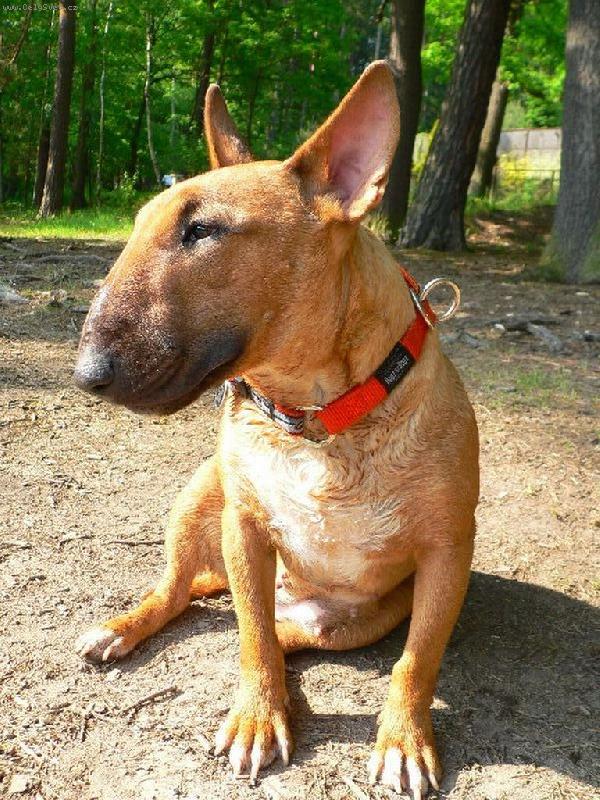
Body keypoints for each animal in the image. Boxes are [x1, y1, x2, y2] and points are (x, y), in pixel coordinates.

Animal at [74, 61, 479, 798]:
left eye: (202, 231)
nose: (86, 373)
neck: (317, 419)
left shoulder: (446, 553)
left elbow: (416, 661)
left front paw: (404, 741)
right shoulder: (245, 525)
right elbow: (252, 638)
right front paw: (258, 720)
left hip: (358, 621)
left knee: (261, 627)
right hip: (200, 497)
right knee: (193, 598)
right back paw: (124, 628)